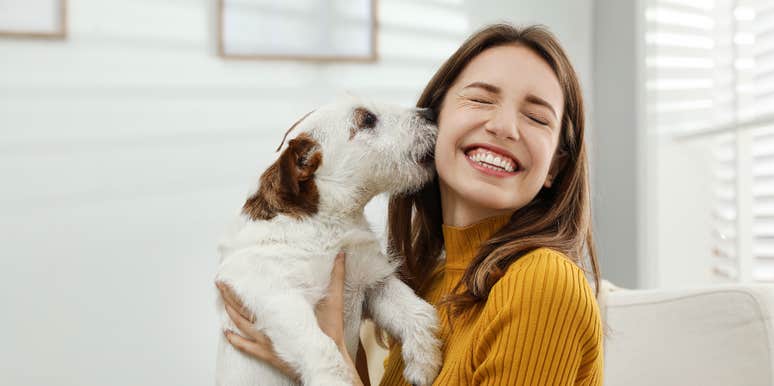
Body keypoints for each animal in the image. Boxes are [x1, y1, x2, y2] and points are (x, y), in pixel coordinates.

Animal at [215, 98, 442, 386]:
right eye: (367, 119)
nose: (431, 113)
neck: (328, 224)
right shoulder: (276, 295)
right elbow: (323, 349)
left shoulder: (373, 283)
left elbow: (418, 312)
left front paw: (424, 363)